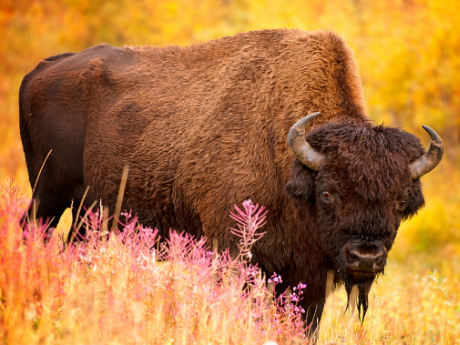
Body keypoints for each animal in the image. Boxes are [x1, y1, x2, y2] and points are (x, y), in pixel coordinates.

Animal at [19, 29, 444, 334]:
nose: (365, 257)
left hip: (89, 210)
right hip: (48, 194)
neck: (288, 159)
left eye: (401, 202)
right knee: (33, 231)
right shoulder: (234, 252)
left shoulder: (307, 277)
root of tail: (43, 69)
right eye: (327, 192)